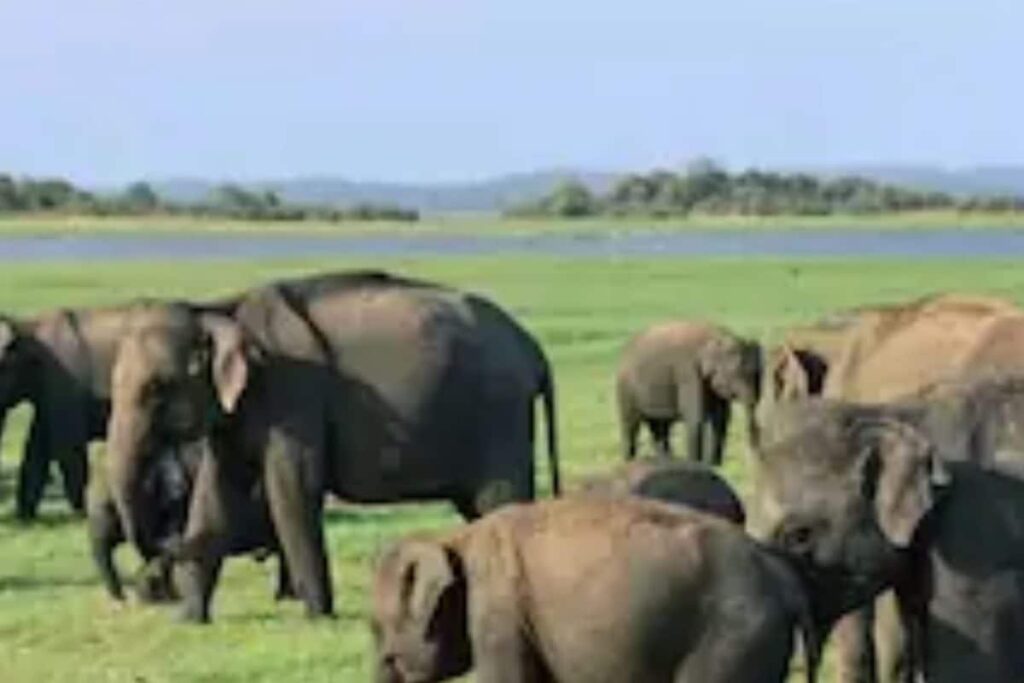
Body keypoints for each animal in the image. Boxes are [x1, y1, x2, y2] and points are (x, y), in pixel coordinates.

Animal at [104, 270, 561, 622]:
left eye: (157, 389)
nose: (156, 582)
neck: (219, 309)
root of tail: (534, 350)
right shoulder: (234, 414)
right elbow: (216, 495)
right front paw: (190, 620)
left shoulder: (294, 395)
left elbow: (292, 489)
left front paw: (316, 617)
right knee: (481, 509)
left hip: (498, 415)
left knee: (500, 501)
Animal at [615, 321, 761, 465]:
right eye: (735, 372)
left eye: (756, 373)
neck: (717, 336)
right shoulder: (688, 373)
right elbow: (696, 419)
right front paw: (697, 463)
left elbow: (721, 418)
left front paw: (715, 465)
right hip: (626, 390)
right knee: (631, 425)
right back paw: (629, 461)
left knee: (660, 427)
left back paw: (666, 460)